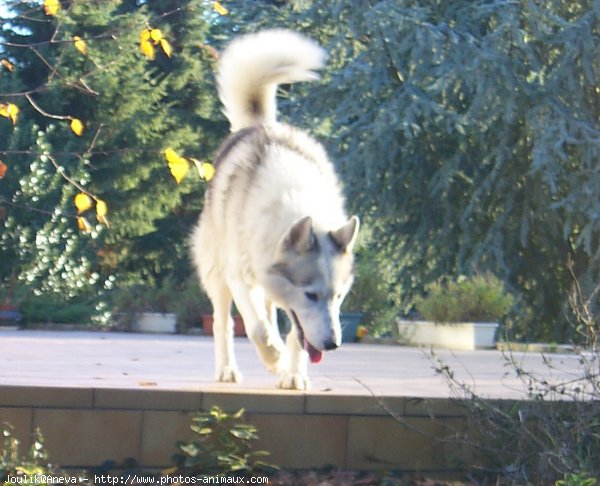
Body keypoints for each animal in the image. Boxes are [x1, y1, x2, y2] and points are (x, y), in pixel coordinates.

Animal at [192, 28, 358, 392]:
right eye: (311, 295)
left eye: (338, 297)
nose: (333, 344)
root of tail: (260, 125)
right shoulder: (239, 276)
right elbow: (256, 328)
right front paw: (274, 359)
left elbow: (295, 334)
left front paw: (293, 373)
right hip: (217, 274)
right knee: (225, 323)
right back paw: (228, 369)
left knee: (270, 312)